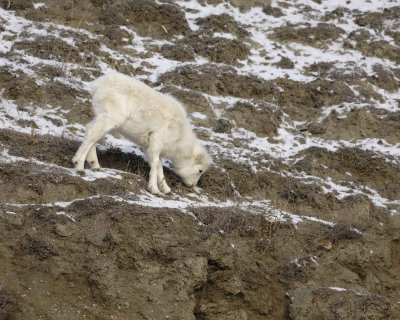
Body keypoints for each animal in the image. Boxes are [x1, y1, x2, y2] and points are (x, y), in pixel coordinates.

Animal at [73, 72, 214, 195]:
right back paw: (79, 165)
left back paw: (94, 165)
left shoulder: (150, 147)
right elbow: (156, 165)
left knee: (92, 133)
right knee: (92, 133)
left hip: (103, 118)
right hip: (110, 119)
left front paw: (166, 189)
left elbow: (159, 165)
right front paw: (155, 190)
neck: (179, 138)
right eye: (200, 170)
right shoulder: (156, 143)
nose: (192, 185)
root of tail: (98, 84)